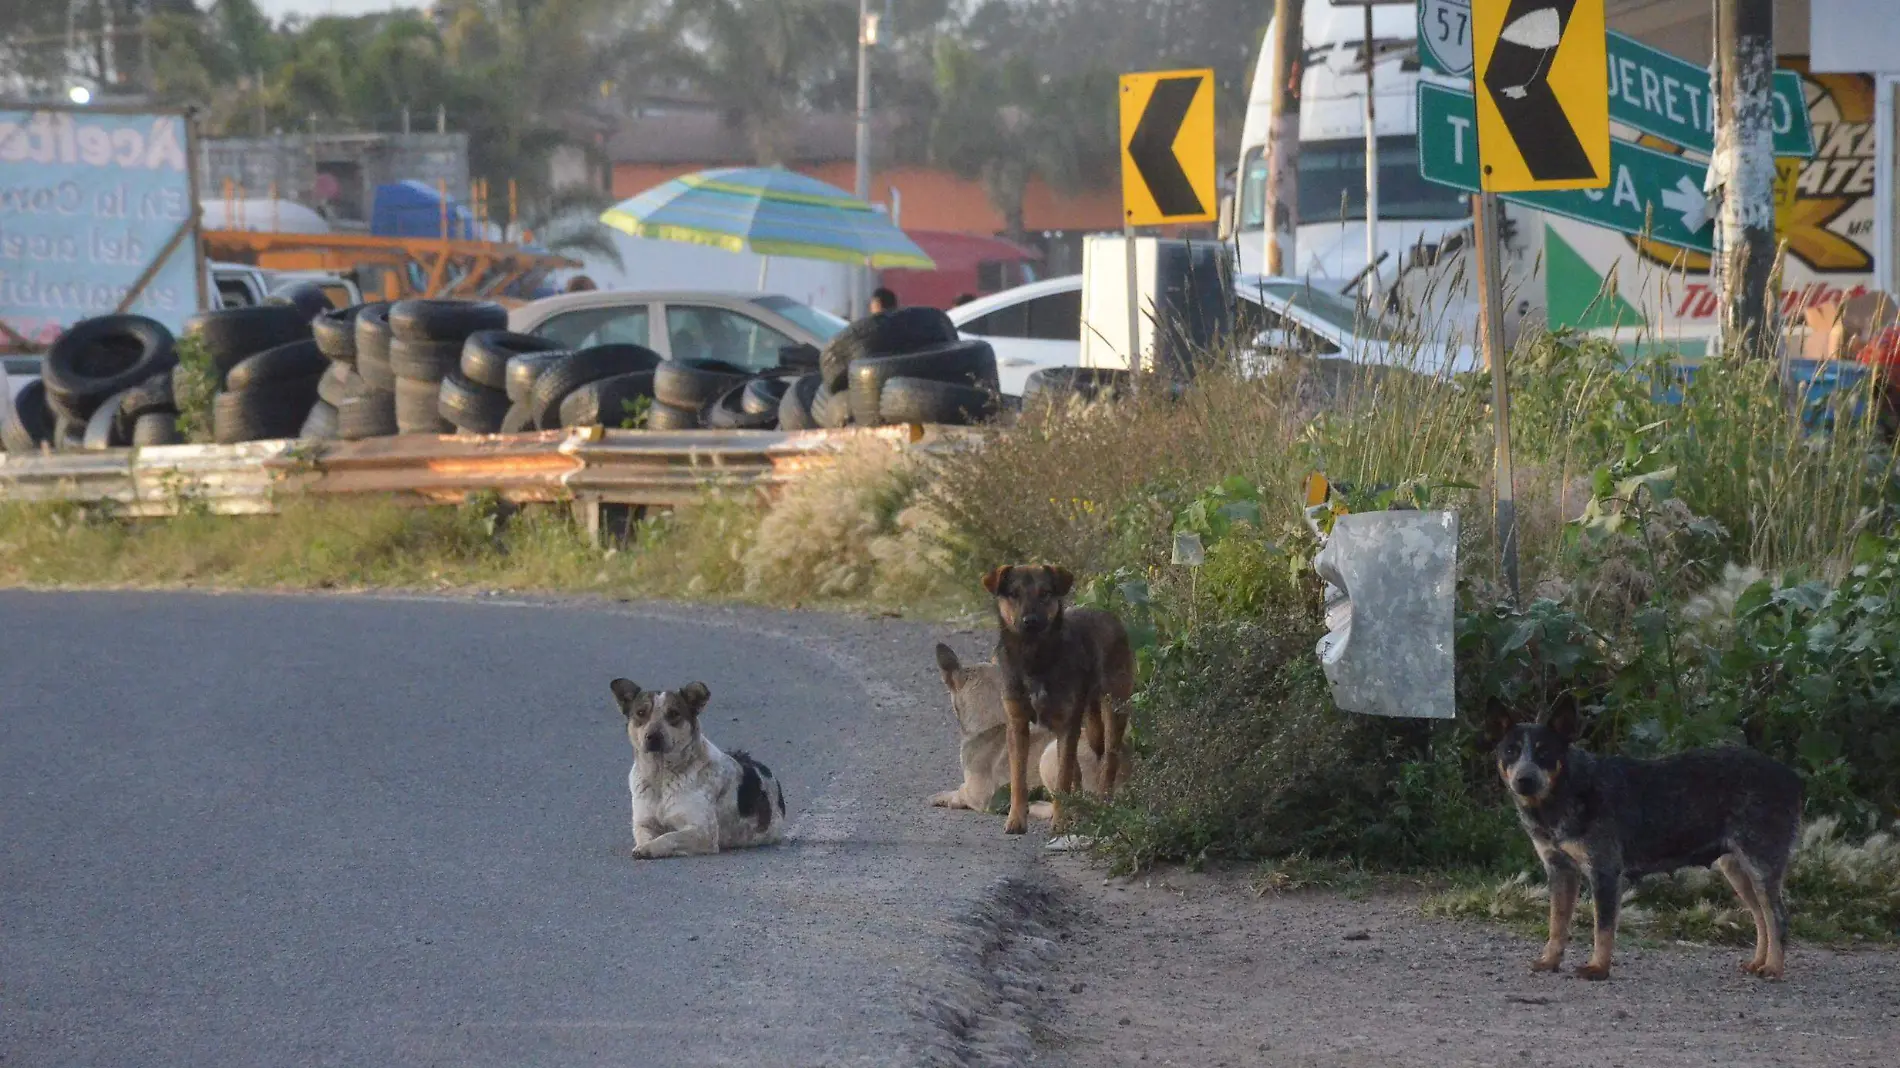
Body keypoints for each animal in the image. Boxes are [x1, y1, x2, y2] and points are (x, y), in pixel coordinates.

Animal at [611, 680, 782, 855]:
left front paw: (648, 849)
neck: (660, 776)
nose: (653, 736)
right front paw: (643, 846)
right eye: (640, 712)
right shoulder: (643, 824)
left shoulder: (703, 832)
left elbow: (669, 837)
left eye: (673, 713)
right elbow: (644, 836)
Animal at [988, 562, 1132, 836]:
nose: (1030, 621)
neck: (1034, 658)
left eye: (1045, 593)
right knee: (1077, 769)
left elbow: (1062, 777)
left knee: (1109, 758)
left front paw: (1060, 822)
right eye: (1013, 594)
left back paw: (1103, 804)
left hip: (1114, 707)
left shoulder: (1066, 724)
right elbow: (1018, 777)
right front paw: (1016, 819)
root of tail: (1109, 614)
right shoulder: (1017, 724)